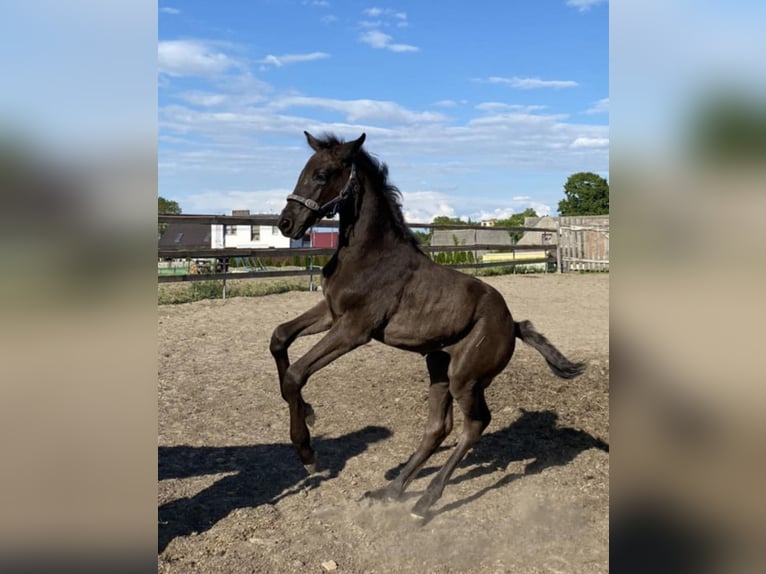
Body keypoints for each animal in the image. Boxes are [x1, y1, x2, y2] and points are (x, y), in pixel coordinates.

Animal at [272, 133, 588, 520]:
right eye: (305, 170)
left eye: (323, 174)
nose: (286, 223)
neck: (369, 255)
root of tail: (512, 323)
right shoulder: (330, 313)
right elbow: (279, 338)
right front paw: (308, 413)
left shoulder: (354, 329)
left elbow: (296, 374)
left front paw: (307, 451)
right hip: (438, 366)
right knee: (439, 427)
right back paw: (391, 490)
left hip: (464, 377)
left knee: (475, 424)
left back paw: (424, 502)